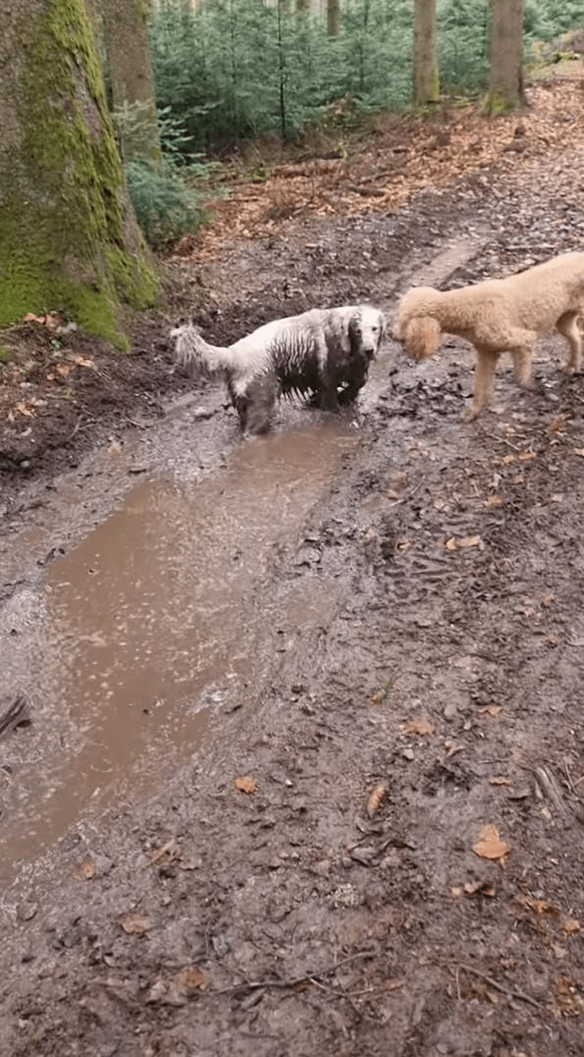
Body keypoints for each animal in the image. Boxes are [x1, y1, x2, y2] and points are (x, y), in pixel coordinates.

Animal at [397, 252, 582, 420]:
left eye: (404, 321)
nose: (393, 335)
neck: (470, 309)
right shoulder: (487, 352)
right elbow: (479, 384)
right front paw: (473, 412)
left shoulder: (524, 339)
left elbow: (519, 378)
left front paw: (533, 388)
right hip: (564, 320)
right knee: (577, 338)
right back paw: (572, 366)